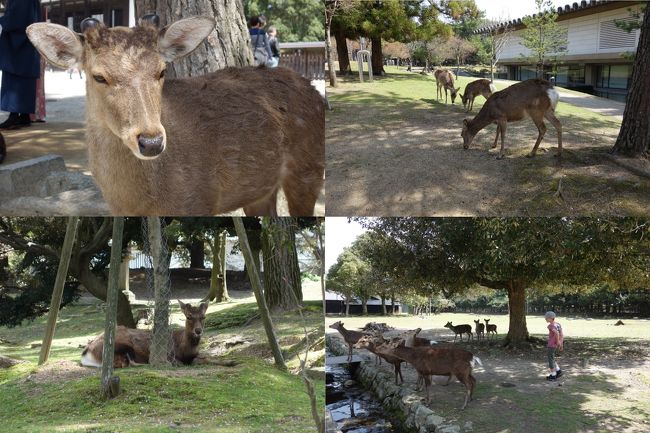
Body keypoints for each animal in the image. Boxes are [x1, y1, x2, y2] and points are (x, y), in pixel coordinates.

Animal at [26, 15, 324, 216]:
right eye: (99, 76)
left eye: (161, 71)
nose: (151, 142)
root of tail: (313, 89)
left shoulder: (200, 202)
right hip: (260, 190)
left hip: (308, 168)